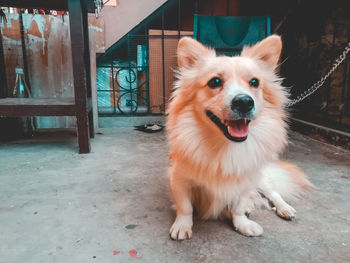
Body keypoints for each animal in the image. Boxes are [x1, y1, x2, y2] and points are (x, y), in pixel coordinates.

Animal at [166, 35, 312, 241]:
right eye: (215, 82)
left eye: (254, 82)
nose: (244, 102)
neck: (225, 146)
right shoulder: (179, 179)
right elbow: (185, 207)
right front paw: (182, 225)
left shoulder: (246, 181)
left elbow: (238, 207)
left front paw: (243, 224)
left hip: (261, 179)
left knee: (273, 193)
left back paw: (284, 208)